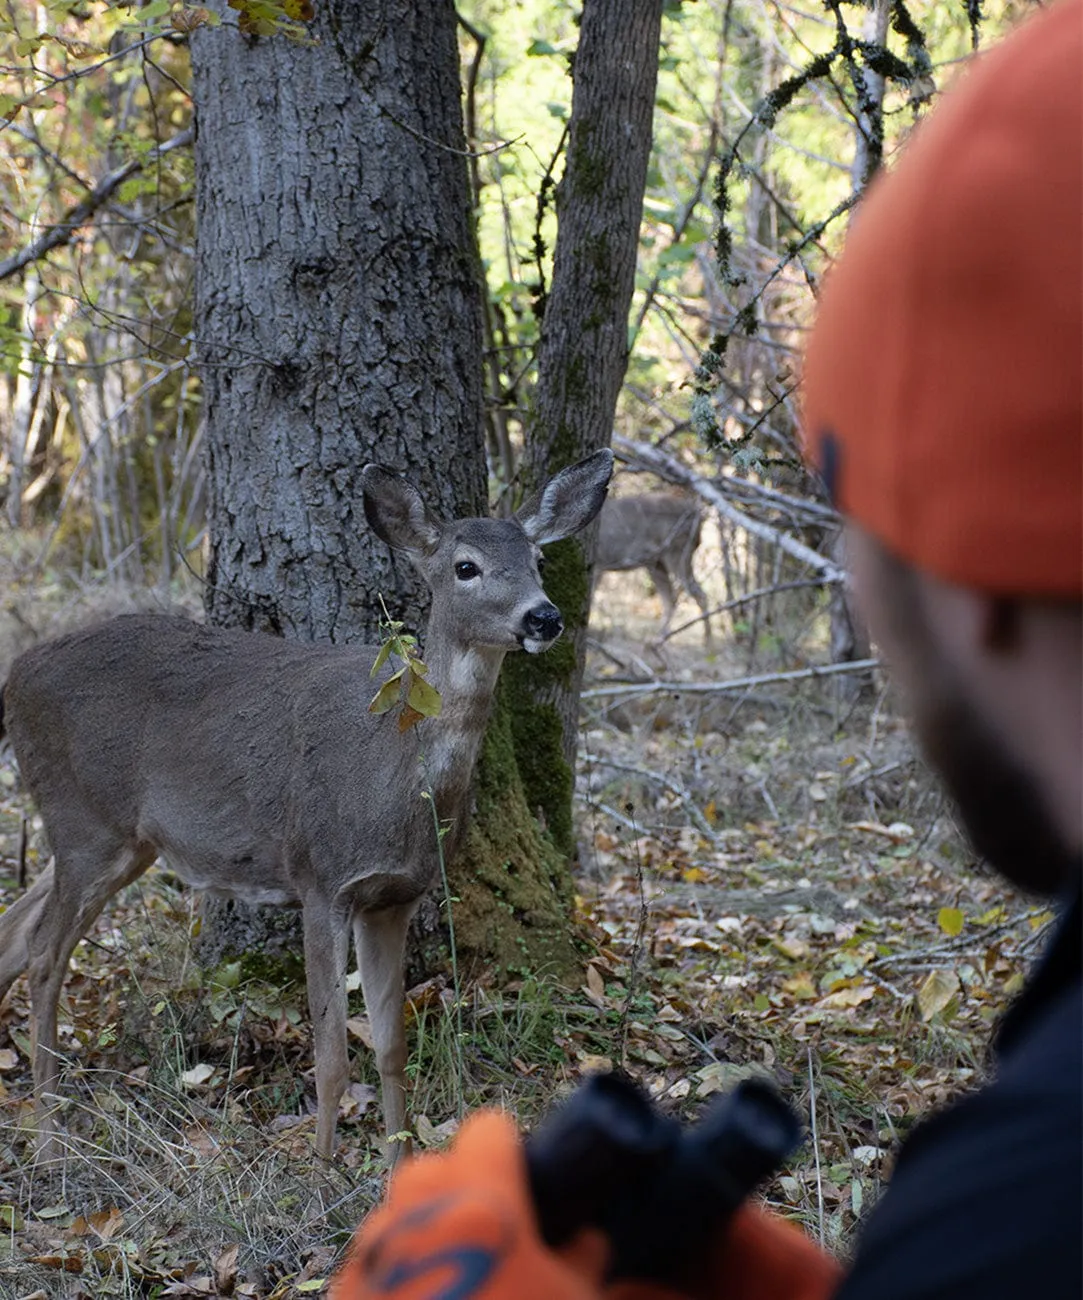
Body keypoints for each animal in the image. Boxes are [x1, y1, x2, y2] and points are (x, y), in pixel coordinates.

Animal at [0, 449, 613, 1170]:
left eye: (538, 560)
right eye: (466, 566)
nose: (544, 618)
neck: (395, 774)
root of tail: (16, 675)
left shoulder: (394, 896)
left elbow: (391, 1047)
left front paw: (397, 1167)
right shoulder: (321, 879)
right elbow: (331, 1057)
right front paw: (321, 1169)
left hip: (114, 838)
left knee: (16, 932)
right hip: (86, 822)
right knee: (45, 954)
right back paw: (49, 1141)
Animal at [592, 488, 707, 644]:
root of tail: (698, 515)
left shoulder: (598, 563)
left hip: (678, 552)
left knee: (699, 594)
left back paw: (707, 642)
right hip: (656, 563)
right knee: (670, 599)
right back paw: (659, 639)